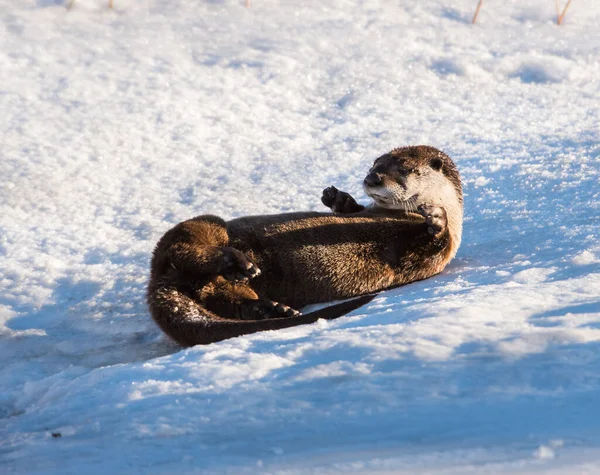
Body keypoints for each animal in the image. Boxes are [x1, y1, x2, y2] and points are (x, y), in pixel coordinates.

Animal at [148, 144, 462, 346]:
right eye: (374, 164)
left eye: (405, 169)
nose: (372, 177)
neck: (399, 216)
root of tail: (158, 280)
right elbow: (352, 211)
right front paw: (337, 198)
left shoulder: (433, 260)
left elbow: (432, 244)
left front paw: (436, 217)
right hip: (206, 225)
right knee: (187, 248)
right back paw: (236, 263)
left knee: (225, 294)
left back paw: (270, 307)